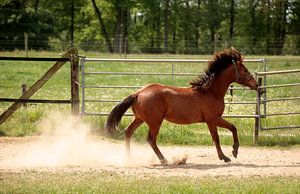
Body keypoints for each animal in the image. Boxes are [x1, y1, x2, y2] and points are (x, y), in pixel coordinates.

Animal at [106, 47, 258, 164]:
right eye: (245, 70)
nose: (256, 85)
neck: (210, 92)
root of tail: (138, 93)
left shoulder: (212, 121)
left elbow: (221, 135)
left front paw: (227, 155)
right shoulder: (213, 119)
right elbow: (226, 132)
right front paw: (232, 153)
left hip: (140, 119)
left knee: (128, 132)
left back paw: (129, 158)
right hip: (155, 122)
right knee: (151, 139)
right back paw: (164, 160)